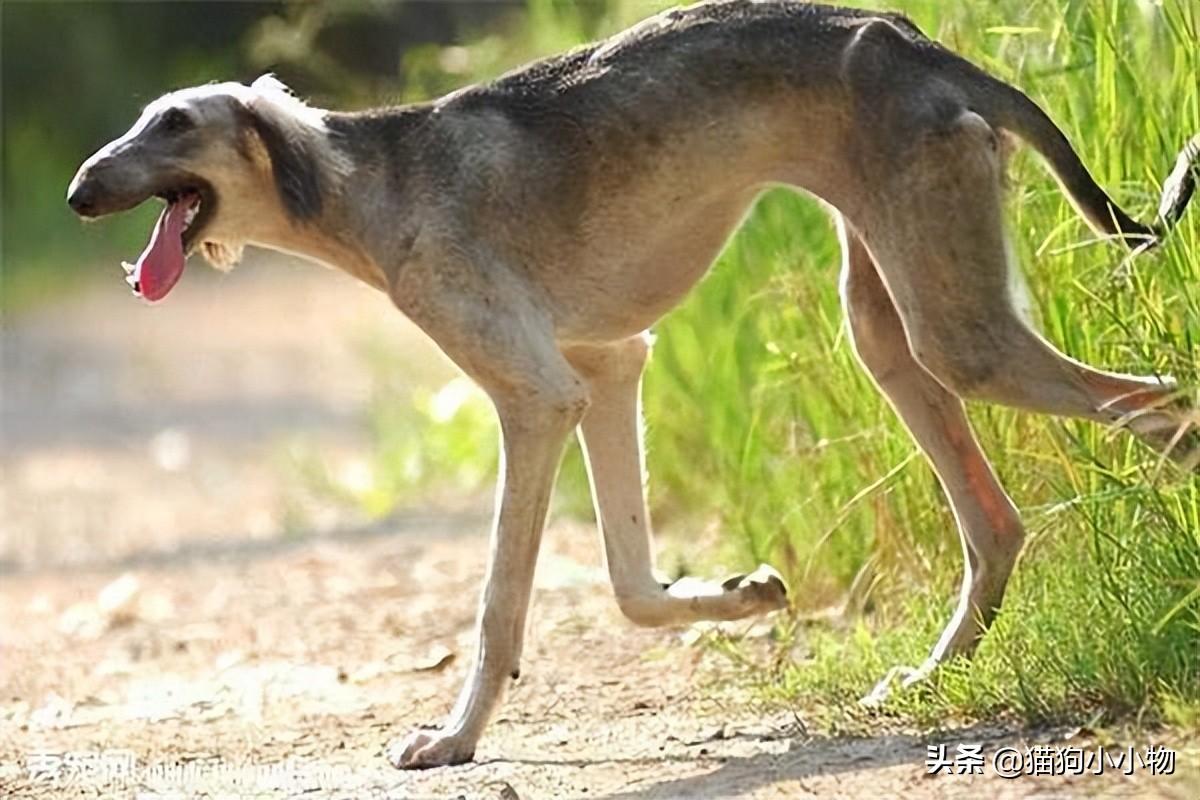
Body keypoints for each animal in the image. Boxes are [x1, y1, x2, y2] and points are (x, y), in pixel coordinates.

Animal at [70, 3, 1195, 772]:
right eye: (141, 122)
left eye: (176, 123)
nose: (80, 190)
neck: (370, 180)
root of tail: (909, 39)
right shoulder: (609, 370)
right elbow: (627, 581)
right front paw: (739, 595)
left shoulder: (536, 398)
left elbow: (499, 603)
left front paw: (456, 736)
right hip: (891, 328)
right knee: (997, 522)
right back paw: (929, 674)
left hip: (957, 334)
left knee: (1167, 407)